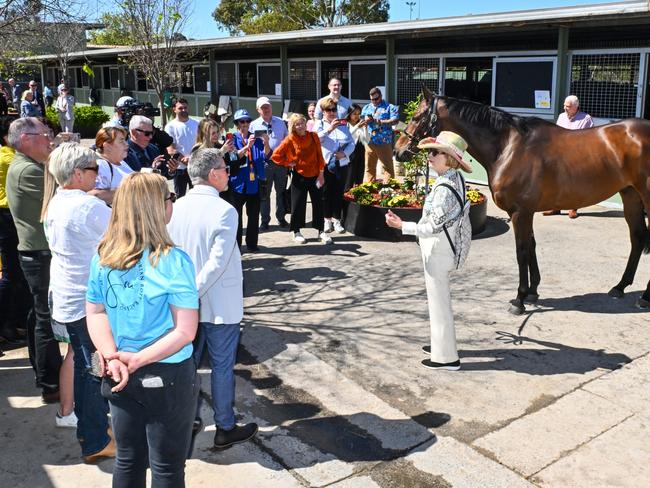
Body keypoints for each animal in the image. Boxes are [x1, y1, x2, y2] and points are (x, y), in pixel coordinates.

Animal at [394, 87, 648, 314]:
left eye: (416, 117)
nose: (398, 151)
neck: (509, 147)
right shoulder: (526, 212)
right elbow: (532, 246)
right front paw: (533, 291)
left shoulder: (520, 212)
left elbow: (521, 250)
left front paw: (519, 298)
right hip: (630, 195)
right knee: (637, 238)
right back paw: (620, 287)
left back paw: (644, 297)